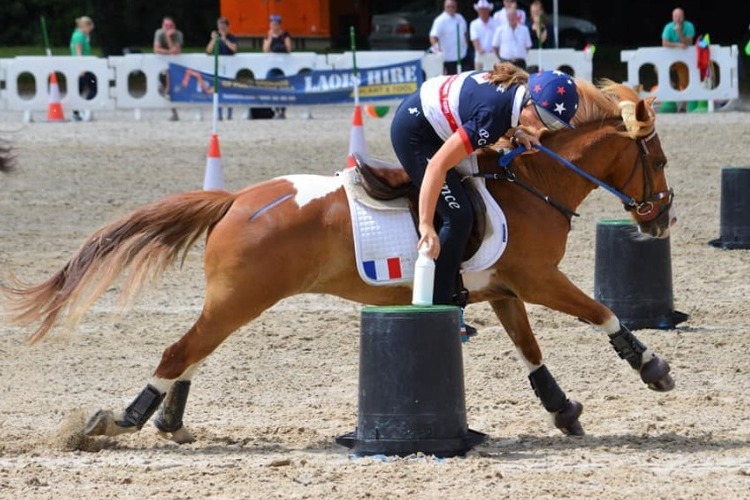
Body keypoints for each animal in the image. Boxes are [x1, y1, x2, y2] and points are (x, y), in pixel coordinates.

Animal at [1, 78, 676, 444]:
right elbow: (602, 312)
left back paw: (169, 421)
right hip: (242, 299)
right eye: (661, 160)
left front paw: (563, 409)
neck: (533, 184)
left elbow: (531, 352)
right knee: (178, 351)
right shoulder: (539, 279)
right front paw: (651, 367)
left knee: (192, 352)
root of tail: (234, 201)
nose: (661, 218)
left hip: (234, 302)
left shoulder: (507, 289)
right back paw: (123, 421)